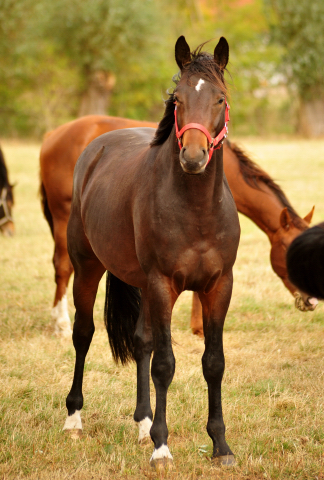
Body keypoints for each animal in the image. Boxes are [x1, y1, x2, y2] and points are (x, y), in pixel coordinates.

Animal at [39, 120, 316, 338]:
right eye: (291, 254)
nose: (312, 300)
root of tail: (52, 135)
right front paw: (199, 327)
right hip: (65, 217)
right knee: (63, 266)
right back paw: (61, 322)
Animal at [64, 36, 240, 464]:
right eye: (177, 99)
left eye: (220, 99)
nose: (193, 157)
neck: (197, 212)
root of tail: (96, 147)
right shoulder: (163, 285)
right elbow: (165, 364)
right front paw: (163, 447)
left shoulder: (218, 287)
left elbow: (213, 363)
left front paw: (220, 445)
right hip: (87, 267)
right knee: (83, 333)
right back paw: (74, 418)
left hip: (141, 283)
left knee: (141, 341)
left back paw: (143, 423)